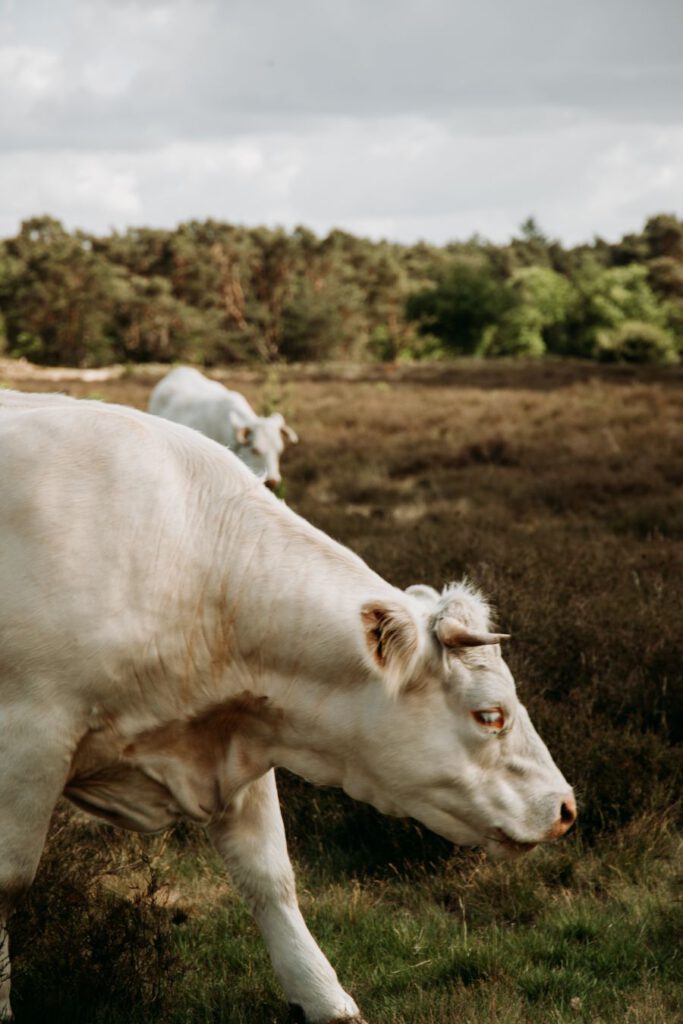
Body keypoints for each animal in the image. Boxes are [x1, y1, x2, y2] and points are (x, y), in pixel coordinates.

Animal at [0, 391, 577, 1024]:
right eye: (489, 715)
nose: (566, 807)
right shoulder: (29, 738)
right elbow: (8, 880)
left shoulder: (241, 738)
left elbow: (270, 876)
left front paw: (323, 996)